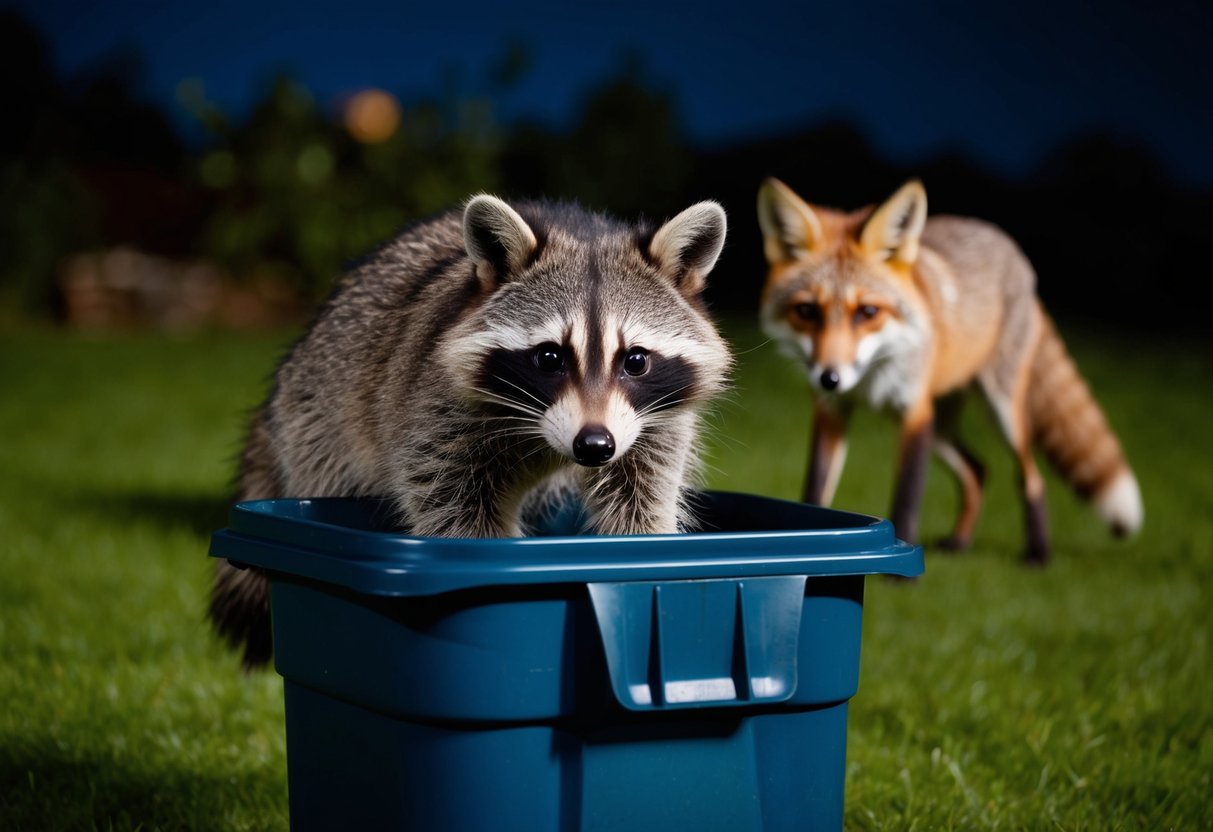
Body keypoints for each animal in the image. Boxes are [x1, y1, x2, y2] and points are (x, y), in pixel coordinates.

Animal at [211, 194, 732, 667]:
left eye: (636, 360)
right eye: (550, 357)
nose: (594, 445)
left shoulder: (652, 423)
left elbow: (641, 494)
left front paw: (642, 550)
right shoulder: (436, 403)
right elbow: (452, 503)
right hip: (320, 417)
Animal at [756, 177, 1142, 564]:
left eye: (867, 312)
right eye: (807, 311)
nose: (829, 378)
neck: (870, 382)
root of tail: (1009, 247)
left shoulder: (915, 413)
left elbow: (907, 497)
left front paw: (896, 571)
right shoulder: (832, 412)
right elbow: (815, 494)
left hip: (1000, 413)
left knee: (1031, 478)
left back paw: (1037, 555)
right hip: (941, 429)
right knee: (978, 471)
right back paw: (960, 543)